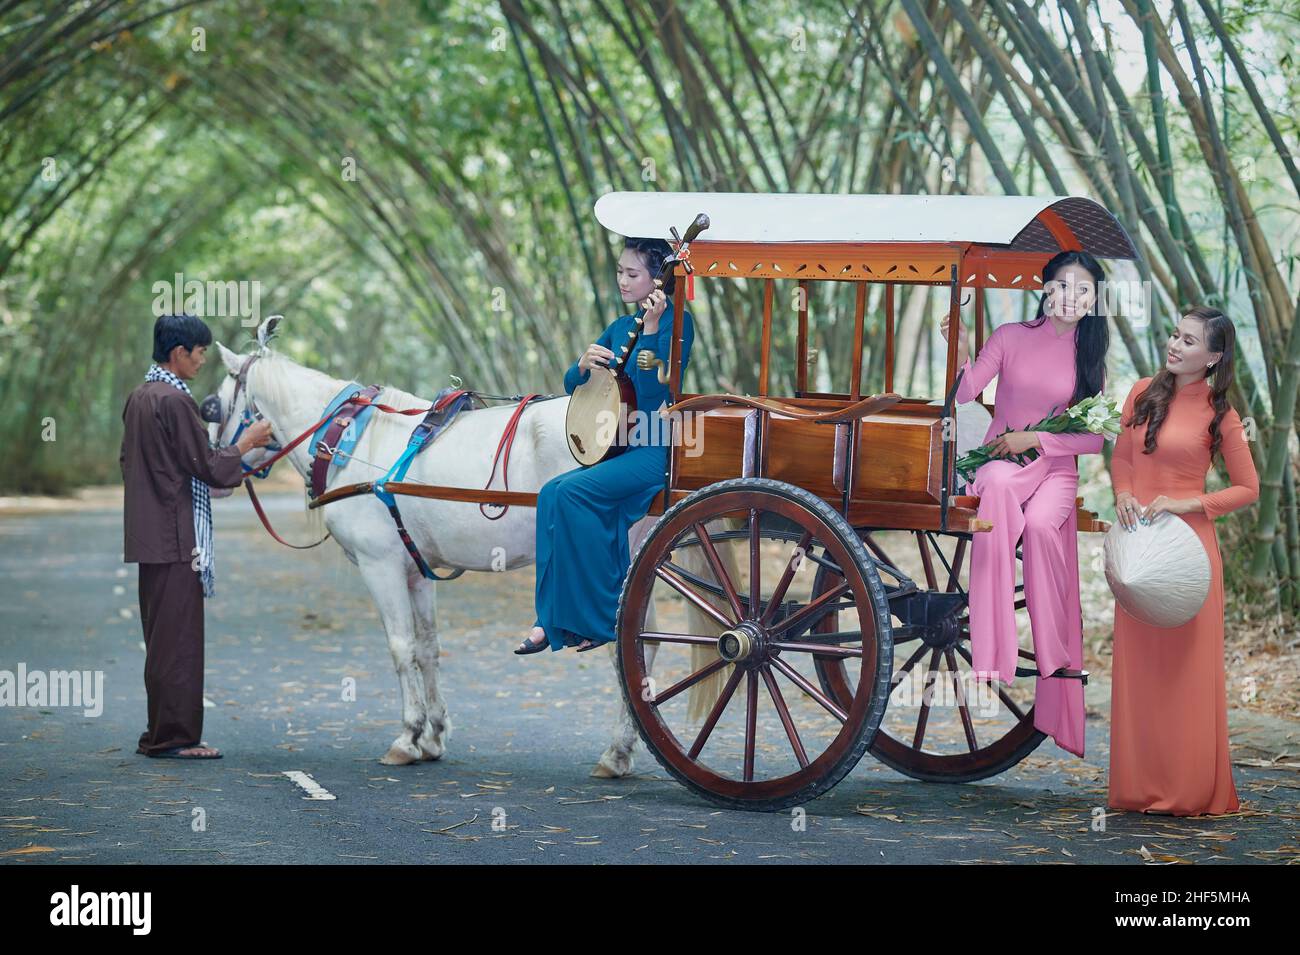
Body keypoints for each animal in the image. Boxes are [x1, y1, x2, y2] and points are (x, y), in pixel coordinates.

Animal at [211, 323, 722, 779]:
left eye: (214, 406)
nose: (218, 472)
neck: (353, 440)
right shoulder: (414, 569)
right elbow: (427, 647)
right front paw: (433, 734)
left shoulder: (381, 565)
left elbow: (400, 648)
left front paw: (407, 736)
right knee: (642, 641)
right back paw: (618, 750)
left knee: (632, 643)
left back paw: (618, 746)